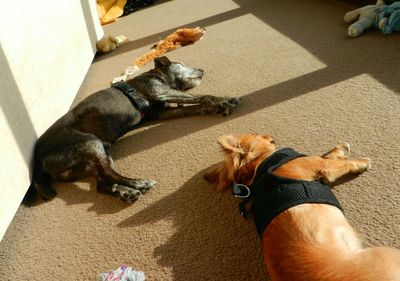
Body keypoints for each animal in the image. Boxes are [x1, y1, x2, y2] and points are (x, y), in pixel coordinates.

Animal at [27, 55, 241, 202]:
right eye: (181, 64)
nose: (201, 69)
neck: (158, 76)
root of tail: (38, 159)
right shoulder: (161, 92)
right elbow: (203, 96)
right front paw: (223, 101)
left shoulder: (161, 111)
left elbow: (197, 106)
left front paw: (219, 105)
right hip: (89, 143)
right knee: (108, 175)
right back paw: (138, 183)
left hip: (95, 155)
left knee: (102, 183)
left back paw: (125, 192)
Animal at [205, 134, 400, 280]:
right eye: (257, 134)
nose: (270, 136)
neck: (260, 165)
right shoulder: (322, 166)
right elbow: (339, 162)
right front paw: (361, 162)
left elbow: (329, 155)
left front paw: (340, 148)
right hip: (386, 254)